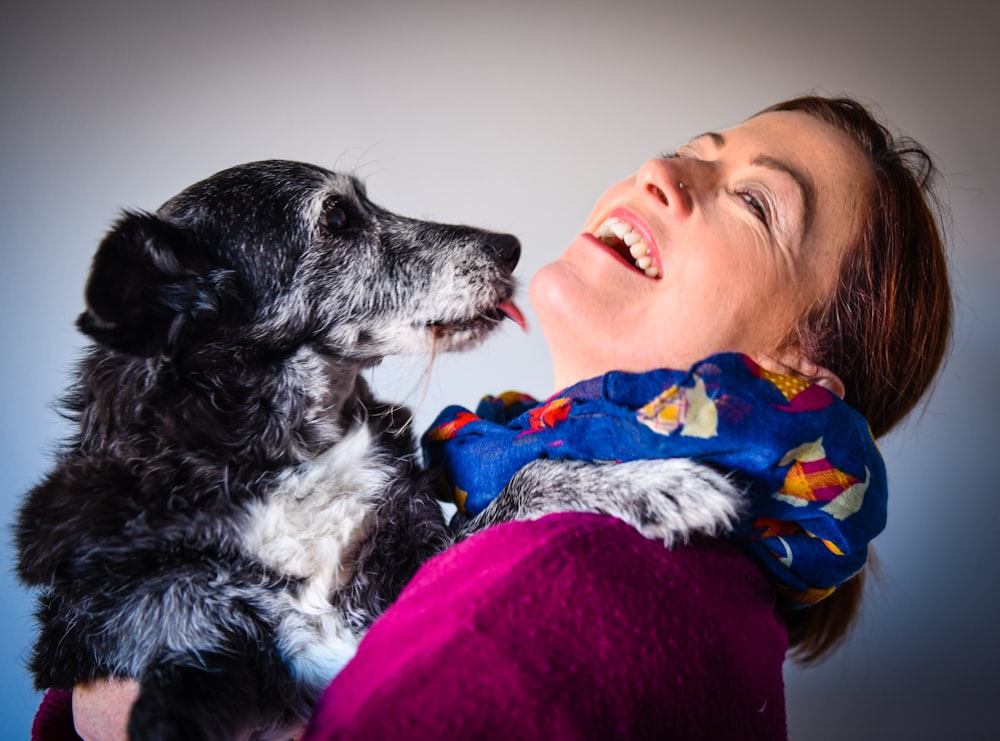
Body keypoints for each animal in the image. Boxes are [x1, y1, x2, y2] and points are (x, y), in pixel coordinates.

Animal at [15, 159, 744, 736]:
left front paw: (655, 483)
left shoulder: (409, 582)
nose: (509, 246)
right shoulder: (170, 638)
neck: (293, 453)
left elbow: (526, 481)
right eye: (337, 216)